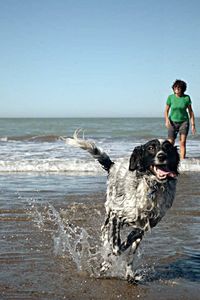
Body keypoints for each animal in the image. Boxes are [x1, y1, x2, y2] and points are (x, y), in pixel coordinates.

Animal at [66, 130, 180, 282]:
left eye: (167, 148)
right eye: (151, 148)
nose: (162, 156)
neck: (152, 188)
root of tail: (113, 165)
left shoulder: (145, 226)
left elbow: (128, 246)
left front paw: (121, 268)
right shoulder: (116, 216)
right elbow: (116, 247)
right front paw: (107, 262)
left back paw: (128, 273)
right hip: (109, 211)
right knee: (105, 233)